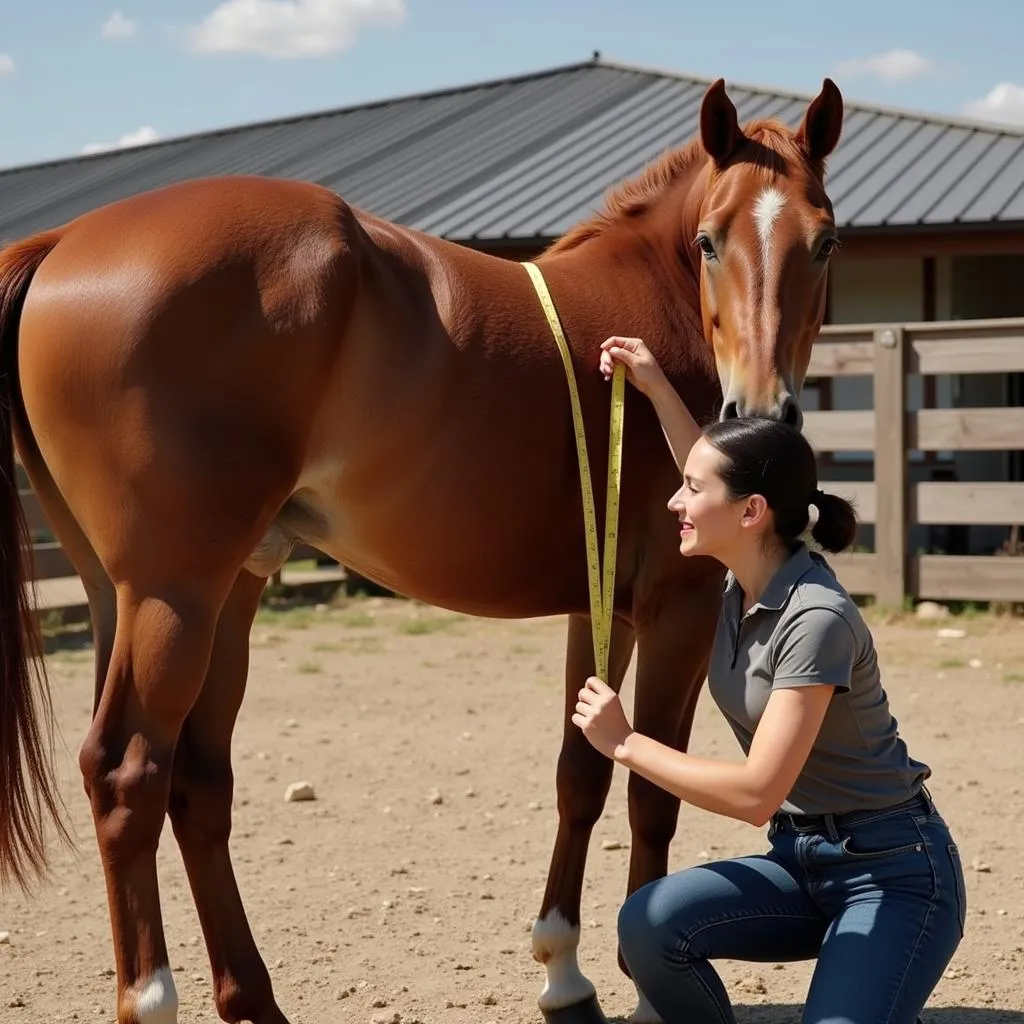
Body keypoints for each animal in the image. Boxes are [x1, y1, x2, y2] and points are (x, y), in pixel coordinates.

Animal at [0, 77, 843, 1024]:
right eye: (708, 240)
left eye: (825, 240)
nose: (759, 417)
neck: (652, 316)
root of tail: (64, 242)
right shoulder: (680, 607)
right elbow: (652, 791)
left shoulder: (605, 608)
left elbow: (583, 772)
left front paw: (563, 973)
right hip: (172, 593)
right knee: (126, 774)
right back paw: (151, 997)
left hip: (192, 593)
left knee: (199, 784)